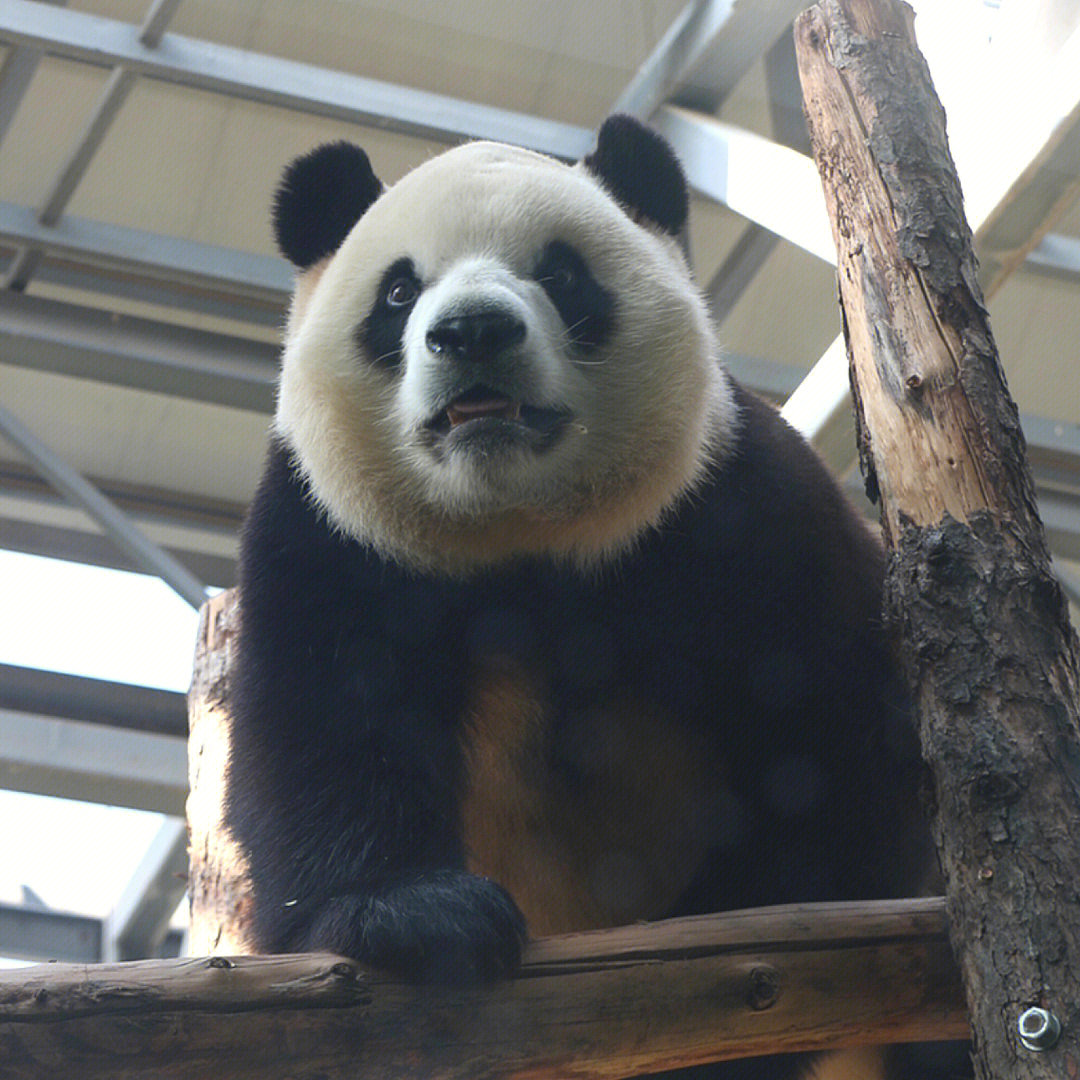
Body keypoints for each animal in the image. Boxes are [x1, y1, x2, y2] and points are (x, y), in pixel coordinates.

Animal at [230, 118, 972, 1080]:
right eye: (398, 290)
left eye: (560, 274)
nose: (472, 331)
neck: (514, 527)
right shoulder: (331, 535)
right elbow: (323, 730)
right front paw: (418, 918)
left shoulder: (733, 505)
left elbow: (834, 745)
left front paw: (727, 964)